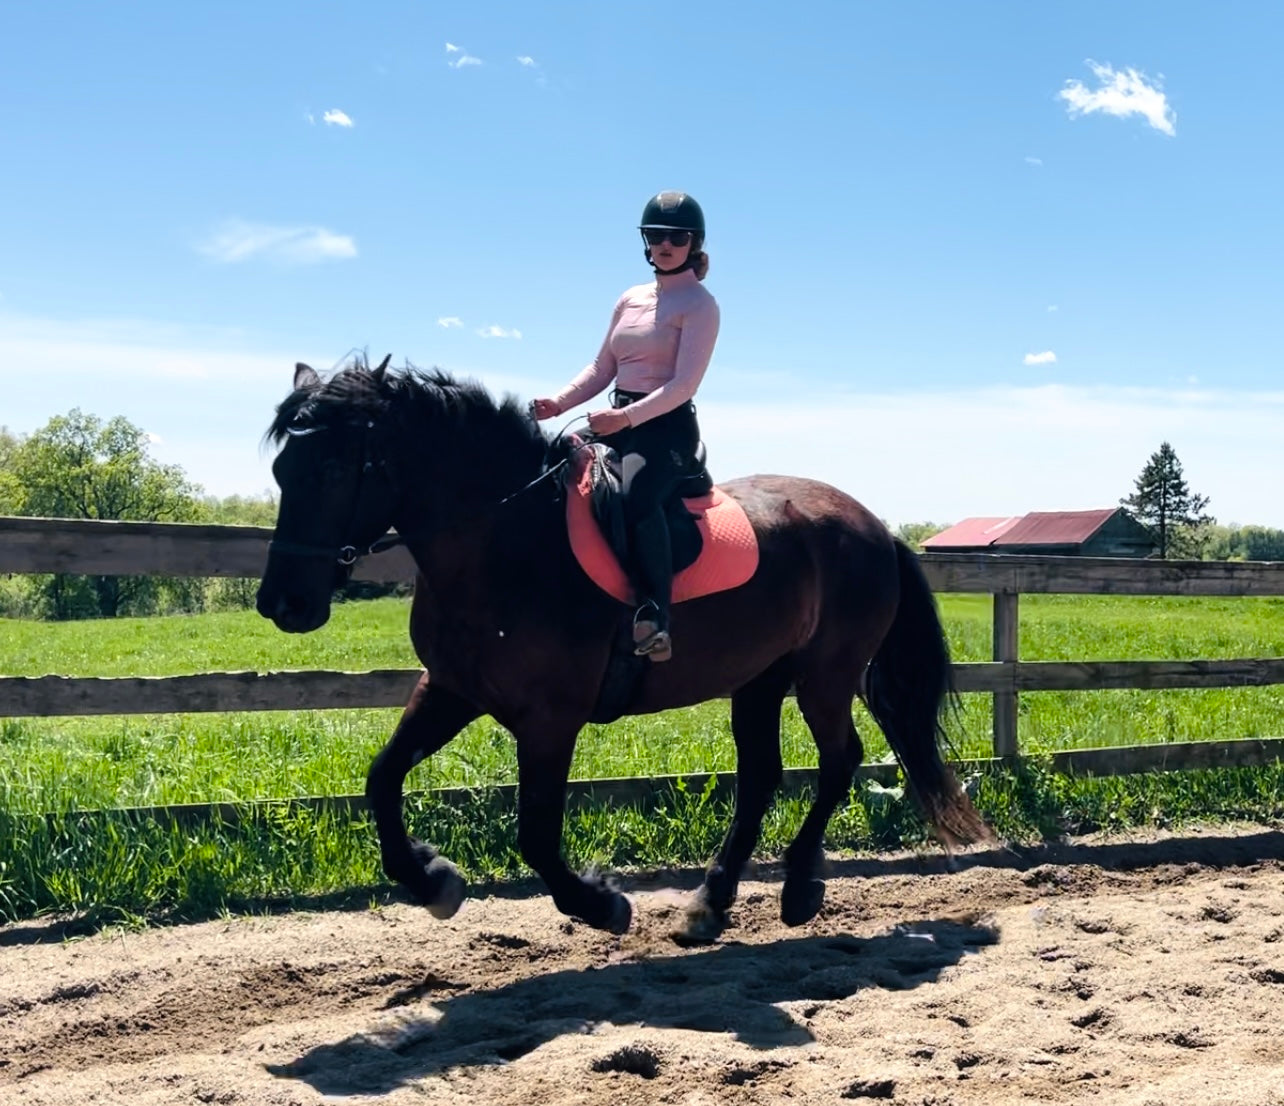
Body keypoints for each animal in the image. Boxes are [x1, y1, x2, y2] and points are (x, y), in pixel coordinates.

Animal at [255, 359, 986, 940]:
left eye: (330, 468)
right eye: (282, 469)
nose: (281, 605)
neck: (506, 543)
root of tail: (872, 524)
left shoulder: (550, 719)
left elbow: (535, 832)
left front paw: (600, 904)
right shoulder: (451, 688)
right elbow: (381, 778)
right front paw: (433, 881)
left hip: (826, 675)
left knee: (839, 761)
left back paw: (798, 889)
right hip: (760, 677)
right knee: (761, 777)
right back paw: (710, 902)